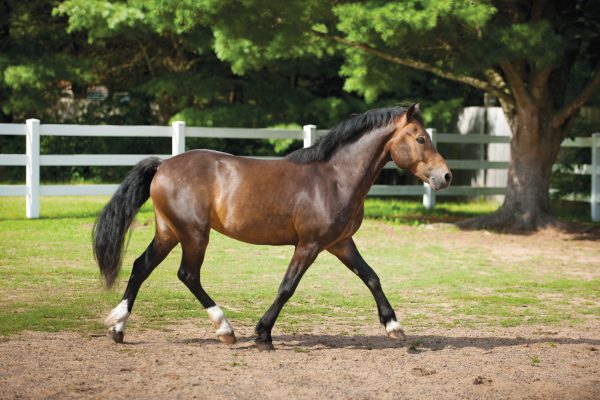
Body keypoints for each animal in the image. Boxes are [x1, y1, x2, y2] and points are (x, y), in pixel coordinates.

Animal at [94, 104, 450, 350]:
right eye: (421, 138)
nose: (445, 176)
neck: (335, 178)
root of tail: (163, 165)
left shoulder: (341, 243)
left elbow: (372, 277)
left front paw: (394, 326)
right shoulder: (309, 245)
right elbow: (287, 287)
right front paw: (263, 333)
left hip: (169, 232)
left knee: (141, 267)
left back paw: (118, 328)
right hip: (194, 234)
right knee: (188, 275)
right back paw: (225, 330)